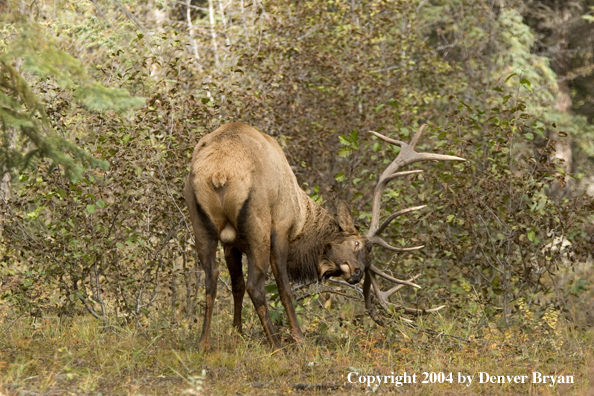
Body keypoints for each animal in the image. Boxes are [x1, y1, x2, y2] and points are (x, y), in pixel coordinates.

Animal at [184, 121, 462, 350]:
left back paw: (203, 343)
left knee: (212, 278)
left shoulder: (232, 245)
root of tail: (220, 174)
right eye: (357, 243)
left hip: (200, 223)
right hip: (258, 225)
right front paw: (298, 337)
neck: (301, 217)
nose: (358, 273)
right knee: (256, 285)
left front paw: (237, 333)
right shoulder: (280, 229)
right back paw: (277, 344)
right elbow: (284, 287)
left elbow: (236, 286)